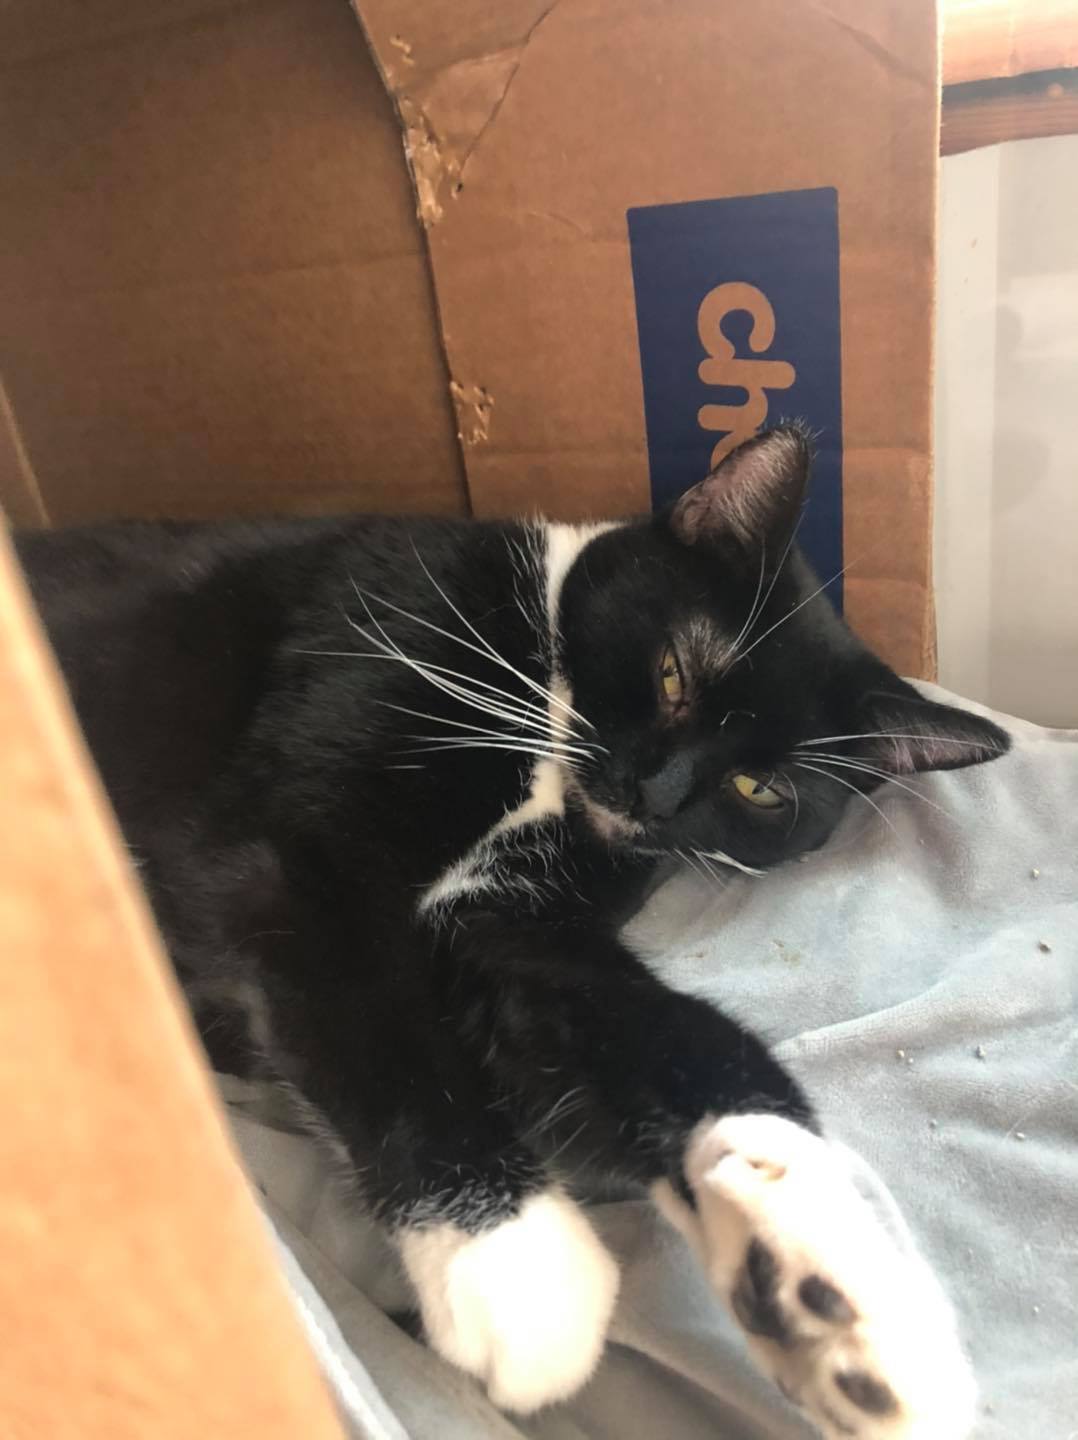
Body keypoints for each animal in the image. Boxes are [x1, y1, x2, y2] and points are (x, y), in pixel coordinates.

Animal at [17, 425, 1006, 1438]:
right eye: (672, 674)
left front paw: (832, 1275)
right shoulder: (296, 848)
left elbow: (664, 1031)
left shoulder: (505, 924)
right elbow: (383, 1026)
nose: (651, 794)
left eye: (760, 789)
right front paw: (521, 1269)